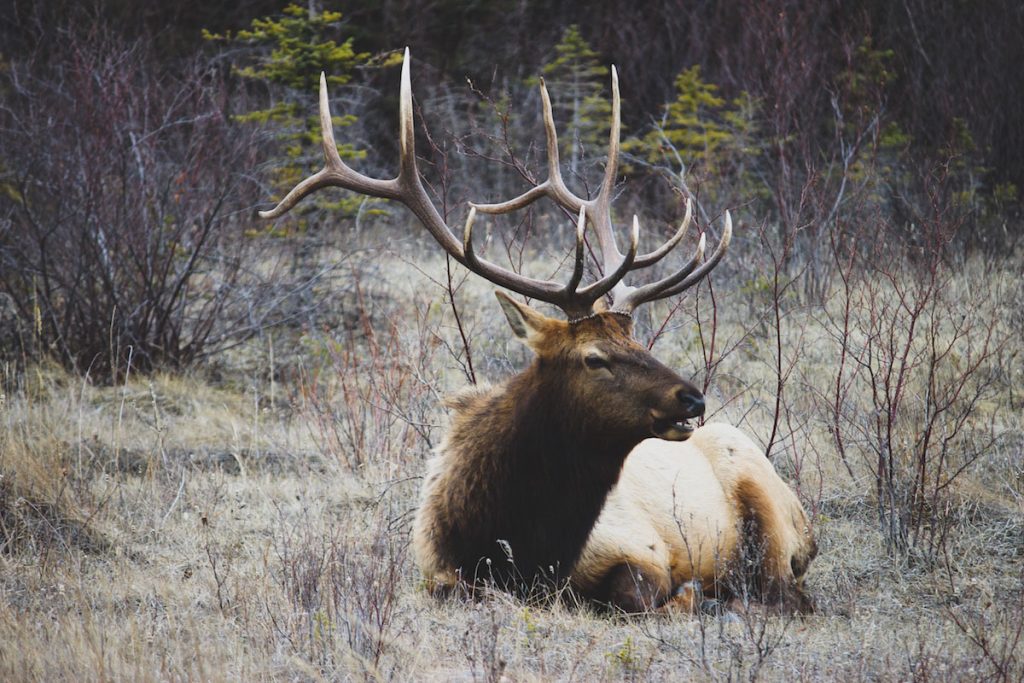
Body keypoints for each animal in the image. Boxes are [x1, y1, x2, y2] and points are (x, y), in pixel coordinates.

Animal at [259, 49, 816, 613]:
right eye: (594, 357)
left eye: (637, 341)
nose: (692, 398)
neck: (518, 543)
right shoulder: (438, 572)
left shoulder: (644, 548)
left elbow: (643, 593)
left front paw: (692, 593)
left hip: (770, 511)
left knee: (785, 591)